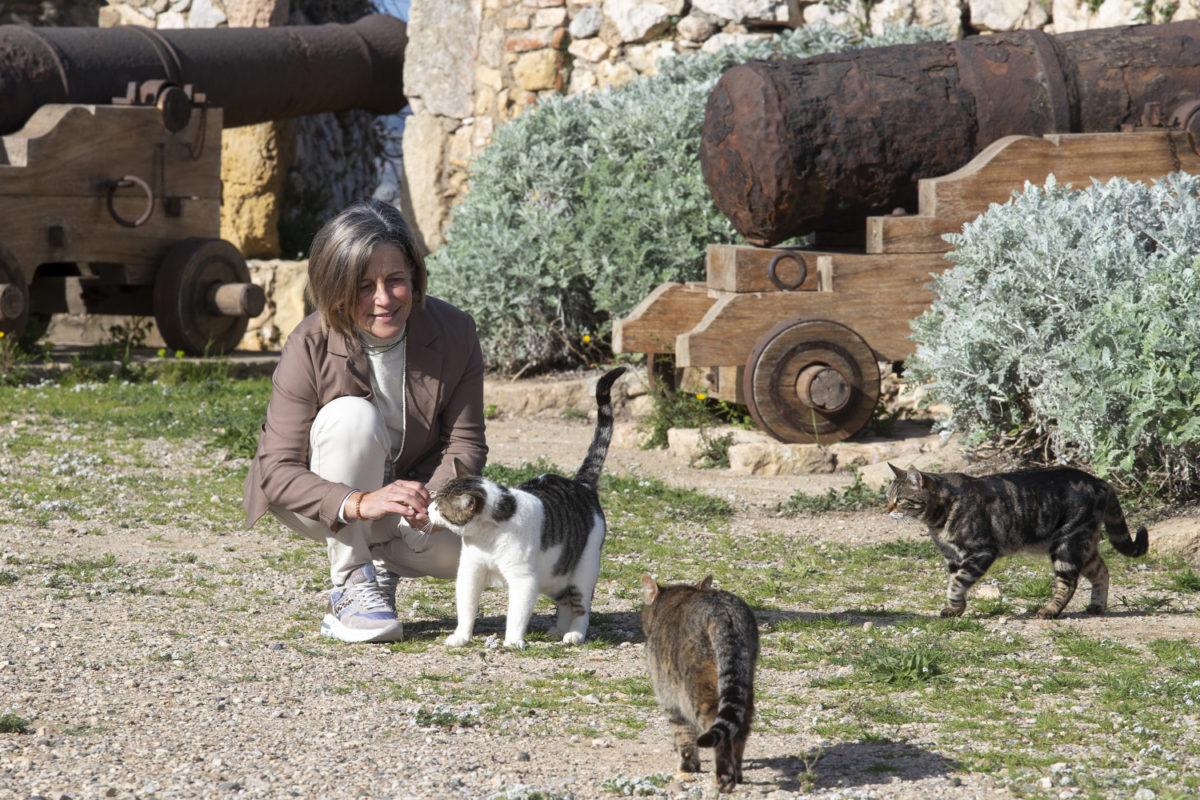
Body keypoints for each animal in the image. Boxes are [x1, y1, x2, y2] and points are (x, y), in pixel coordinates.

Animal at [427, 369, 628, 652]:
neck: (487, 537)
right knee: (565, 602)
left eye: (439, 508)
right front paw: (461, 637)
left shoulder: (524, 579)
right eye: (434, 501)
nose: (426, 509)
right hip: (555, 574)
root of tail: (582, 484)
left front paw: (512, 641)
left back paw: (574, 634)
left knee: (581, 606)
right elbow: (466, 607)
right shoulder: (470, 571)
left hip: (583, 571)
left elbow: (517, 613)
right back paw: (559, 630)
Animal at [638, 573, 758, 791]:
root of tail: (722, 610)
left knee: (716, 730)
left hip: (698, 687)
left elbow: (683, 734)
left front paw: (688, 764)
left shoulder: (670, 698)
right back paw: (737, 772)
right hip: (744, 679)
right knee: (741, 727)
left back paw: (724, 776)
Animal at [883, 462, 1152, 618]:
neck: (938, 520)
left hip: (1066, 544)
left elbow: (957, 583)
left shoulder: (981, 552)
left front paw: (955, 605)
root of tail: (1100, 482)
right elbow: (954, 584)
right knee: (1102, 571)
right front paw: (955, 609)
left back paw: (1050, 611)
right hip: (1083, 547)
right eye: (888, 497)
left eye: (900, 500)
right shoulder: (953, 558)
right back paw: (1097, 606)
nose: (886, 510)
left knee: (1068, 583)